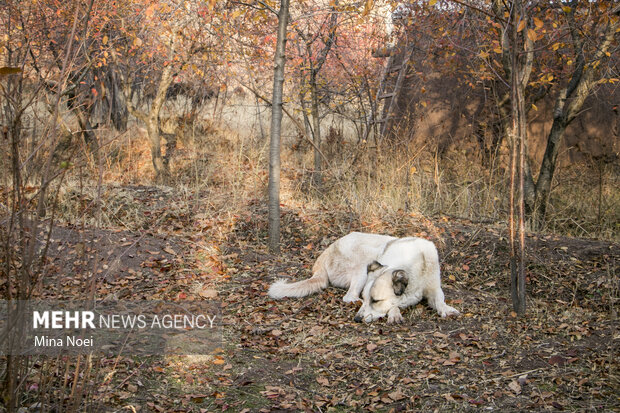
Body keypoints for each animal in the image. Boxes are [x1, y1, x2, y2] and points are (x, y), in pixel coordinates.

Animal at [268, 232, 460, 322]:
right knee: (348, 297)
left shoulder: (434, 287)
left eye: (375, 300)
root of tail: (322, 258)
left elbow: (440, 299)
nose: (357, 319)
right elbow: (393, 305)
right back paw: (354, 301)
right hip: (363, 264)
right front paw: (394, 313)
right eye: (370, 299)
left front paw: (446, 309)